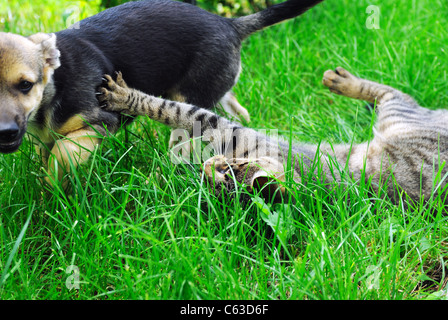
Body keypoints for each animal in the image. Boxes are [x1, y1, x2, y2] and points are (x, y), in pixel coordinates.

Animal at [0, 0, 322, 188]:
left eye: (25, 85)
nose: (5, 132)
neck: (54, 84)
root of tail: (230, 23)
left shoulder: (99, 123)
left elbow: (62, 156)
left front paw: (54, 191)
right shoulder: (46, 138)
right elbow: (49, 153)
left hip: (190, 105)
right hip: (214, 90)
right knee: (237, 111)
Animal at [97, 68, 448, 205]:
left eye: (226, 173)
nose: (208, 166)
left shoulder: (223, 126)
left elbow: (169, 109)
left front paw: (123, 97)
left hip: (397, 114)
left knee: (392, 92)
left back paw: (340, 80)